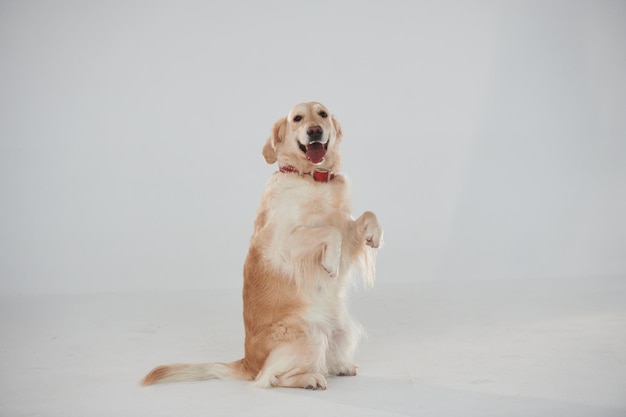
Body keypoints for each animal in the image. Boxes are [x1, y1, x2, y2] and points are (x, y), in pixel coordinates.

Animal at [142, 102, 382, 388]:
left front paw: (374, 235)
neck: (312, 177)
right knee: (271, 378)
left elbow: (364, 216)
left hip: (342, 330)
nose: (314, 130)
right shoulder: (283, 243)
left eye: (322, 114)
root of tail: (248, 362)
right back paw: (309, 379)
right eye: (297, 118)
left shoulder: (347, 230)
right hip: (306, 334)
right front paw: (330, 263)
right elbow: (330, 231)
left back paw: (341, 366)